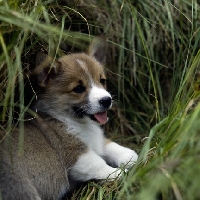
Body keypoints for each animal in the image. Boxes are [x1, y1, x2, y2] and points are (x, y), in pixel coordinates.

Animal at [0, 36, 138, 199]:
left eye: (102, 80)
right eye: (78, 89)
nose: (106, 100)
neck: (72, 120)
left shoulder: (95, 141)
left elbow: (108, 145)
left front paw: (129, 156)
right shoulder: (78, 155)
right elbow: (100, 165)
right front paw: (121, 173)